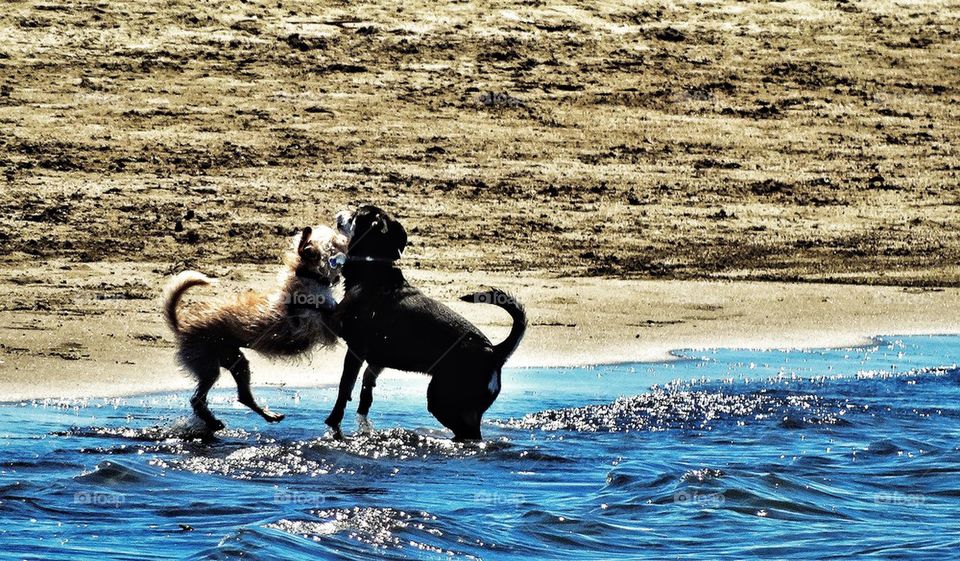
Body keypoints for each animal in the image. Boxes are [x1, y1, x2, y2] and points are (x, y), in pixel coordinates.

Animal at [163, 223, 346, 428]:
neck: (308, 278)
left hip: (237, 362)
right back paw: (213, 422)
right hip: (208, 367)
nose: (345, 236)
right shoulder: (323, 323)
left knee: (243, 396)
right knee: (197, 399)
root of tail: (182, 326)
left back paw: (267, 415)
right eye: (334, 241)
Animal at [326, 203, 528, 440]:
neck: (374, 267)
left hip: (442, 401)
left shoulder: (355, 348)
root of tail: (495, 352)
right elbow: (366, 388)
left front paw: (333, 423)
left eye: (356, 215)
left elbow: (344, 388)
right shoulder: (378, 359)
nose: (339, 213)